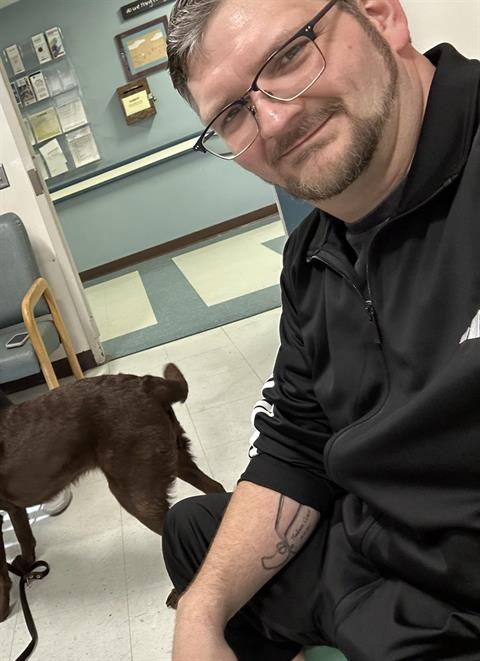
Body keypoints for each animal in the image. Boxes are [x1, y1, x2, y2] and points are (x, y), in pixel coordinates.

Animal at [0, 363, 225, 622]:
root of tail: (147, 384)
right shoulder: (14, 509)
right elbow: (25, 538)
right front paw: (25, 566)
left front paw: (2, 611)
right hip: (177, 459)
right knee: (214, 489)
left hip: (135, 493)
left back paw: (182, 592)